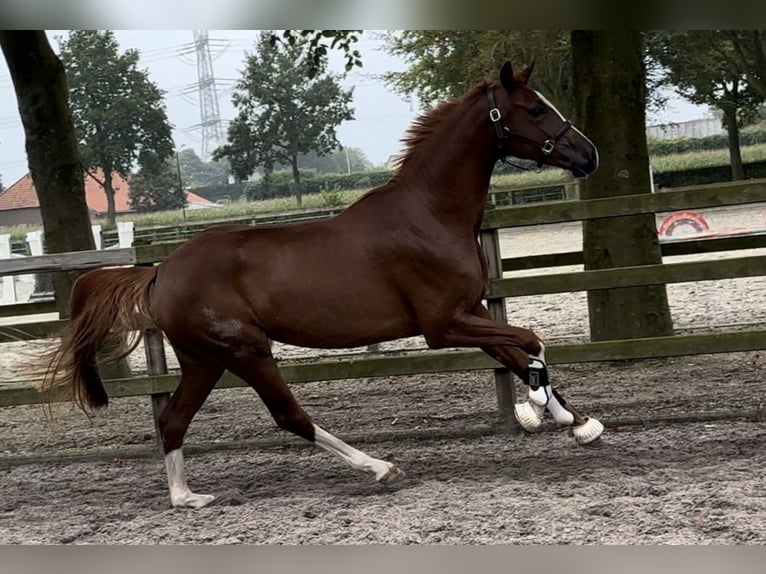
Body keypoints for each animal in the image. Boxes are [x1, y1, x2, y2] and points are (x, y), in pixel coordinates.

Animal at [42, 60, 604, 510]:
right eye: (534, 109)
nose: (589, 156)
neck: (429, 213)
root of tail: (160, 270)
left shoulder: (475, 311)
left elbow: (519, 354)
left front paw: (577, 422)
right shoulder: (443, 326)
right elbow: (531, 343)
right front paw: (542, 410)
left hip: (206, 359)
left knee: (173, 420)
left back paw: (187, 498)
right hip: (246, 351)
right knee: (289, 416)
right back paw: (381, 468)